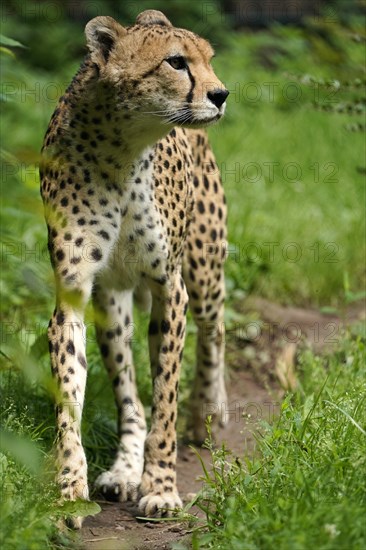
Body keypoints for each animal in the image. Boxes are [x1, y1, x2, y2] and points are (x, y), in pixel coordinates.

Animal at [40, 9, 229, 528]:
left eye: (208, 59)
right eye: (176, 62)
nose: (221, 94)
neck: (122, 150)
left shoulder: (171, 287)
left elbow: (166, 398)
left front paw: (161, 488)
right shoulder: (74, 295)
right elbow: (73, 397)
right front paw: (70, 491)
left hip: (203, 268)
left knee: (216, 330)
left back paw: (210, 410)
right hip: (112, 304)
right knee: (128, 395)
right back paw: (125, 469)